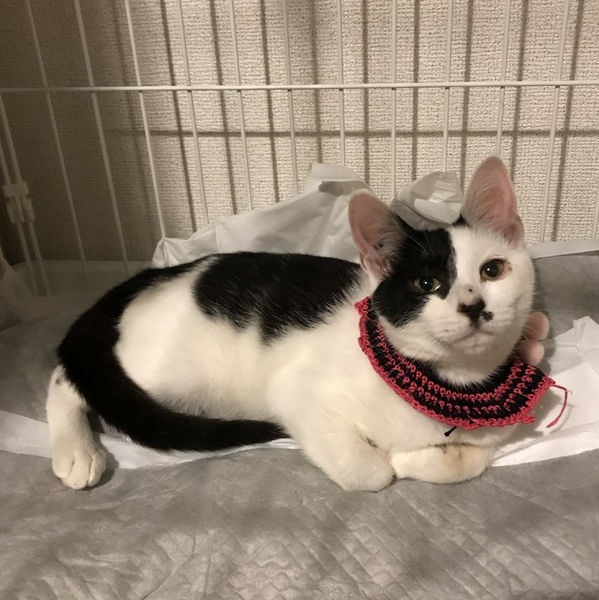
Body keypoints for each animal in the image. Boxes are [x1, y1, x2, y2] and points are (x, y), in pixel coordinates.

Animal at [47, 156, 539, 491]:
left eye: (493, 270)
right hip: (167, 373)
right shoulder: (297, 391)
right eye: (426, 283)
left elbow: (471, 459)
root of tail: (158, 274)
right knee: (69, 377)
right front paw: (398, 460)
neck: (452, 380)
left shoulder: (498, 433)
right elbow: (372, 471)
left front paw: (423, 457)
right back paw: (76, 451)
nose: (473, 305)